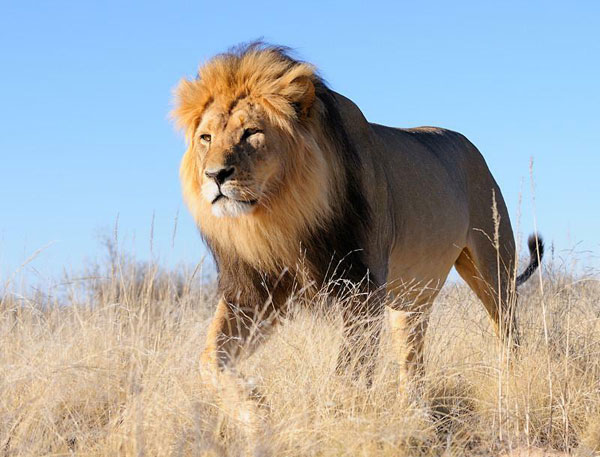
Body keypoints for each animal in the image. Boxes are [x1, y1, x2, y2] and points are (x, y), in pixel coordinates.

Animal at [172, 42, 544, 380]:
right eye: (206, 137)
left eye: (251, 132)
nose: (215, 175)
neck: (282, 216)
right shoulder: (254, 292)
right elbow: (211, 358)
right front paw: (254, 403)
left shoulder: (363, 289)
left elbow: (348, 374)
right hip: (411, 300)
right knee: (413, 365)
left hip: (494, 269)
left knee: (508, 334)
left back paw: (511, 382)